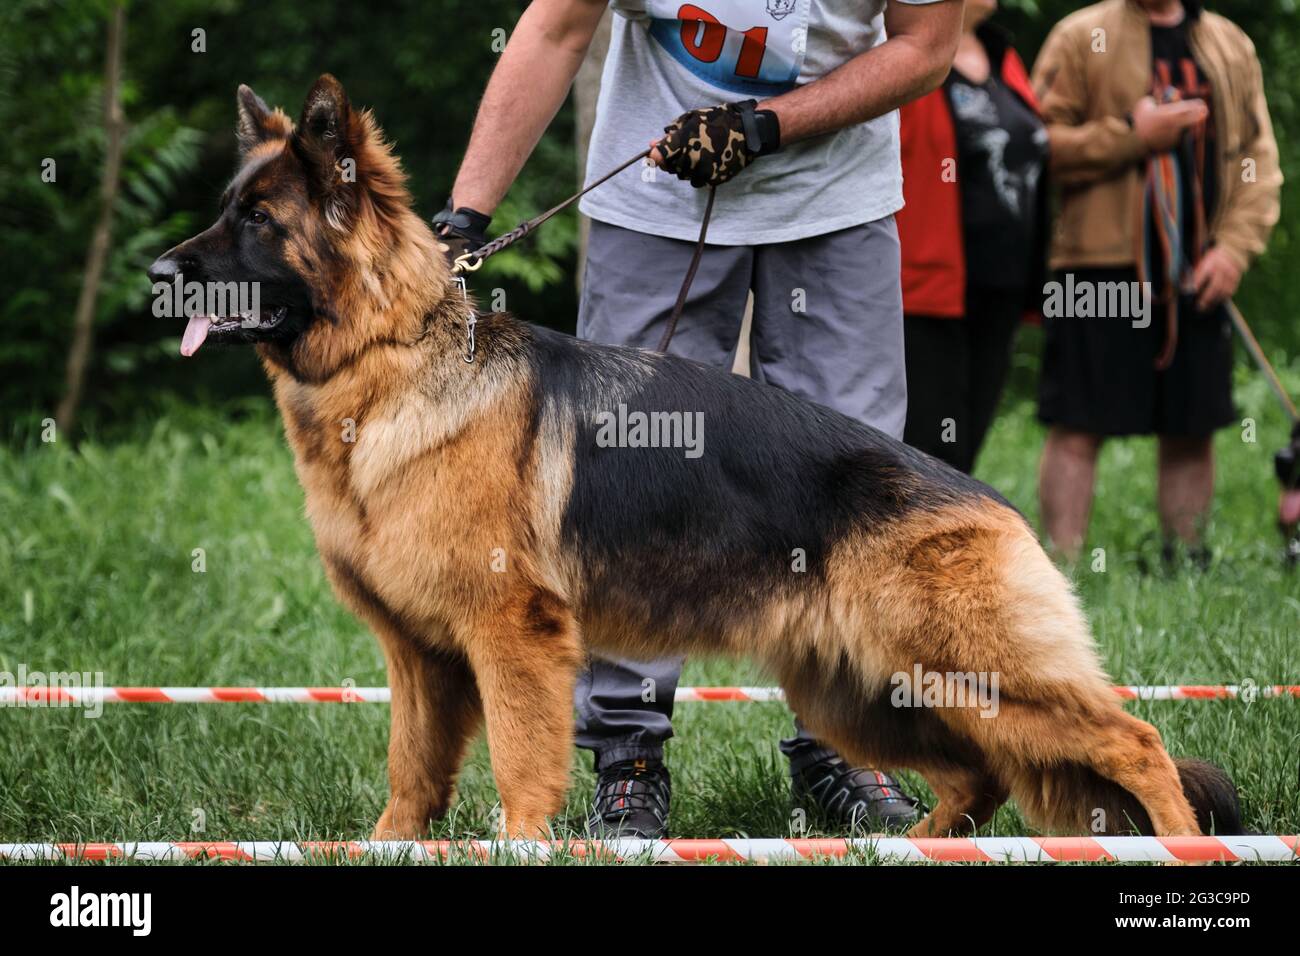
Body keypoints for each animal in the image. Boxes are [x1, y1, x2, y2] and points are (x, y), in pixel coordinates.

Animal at [147, 78, 1242, 842]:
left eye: (258, 221)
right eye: (228, 207)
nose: (158, 272)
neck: (394, 360)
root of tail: (990, 501)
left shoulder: (511, 640)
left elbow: (521, 765)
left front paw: (522, 840)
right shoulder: (419, 657)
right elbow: (410, 777)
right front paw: (387, 842)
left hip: (966, 671)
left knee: (1135, 741)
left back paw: (1181, 845)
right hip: (864, 692)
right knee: (979, 777)